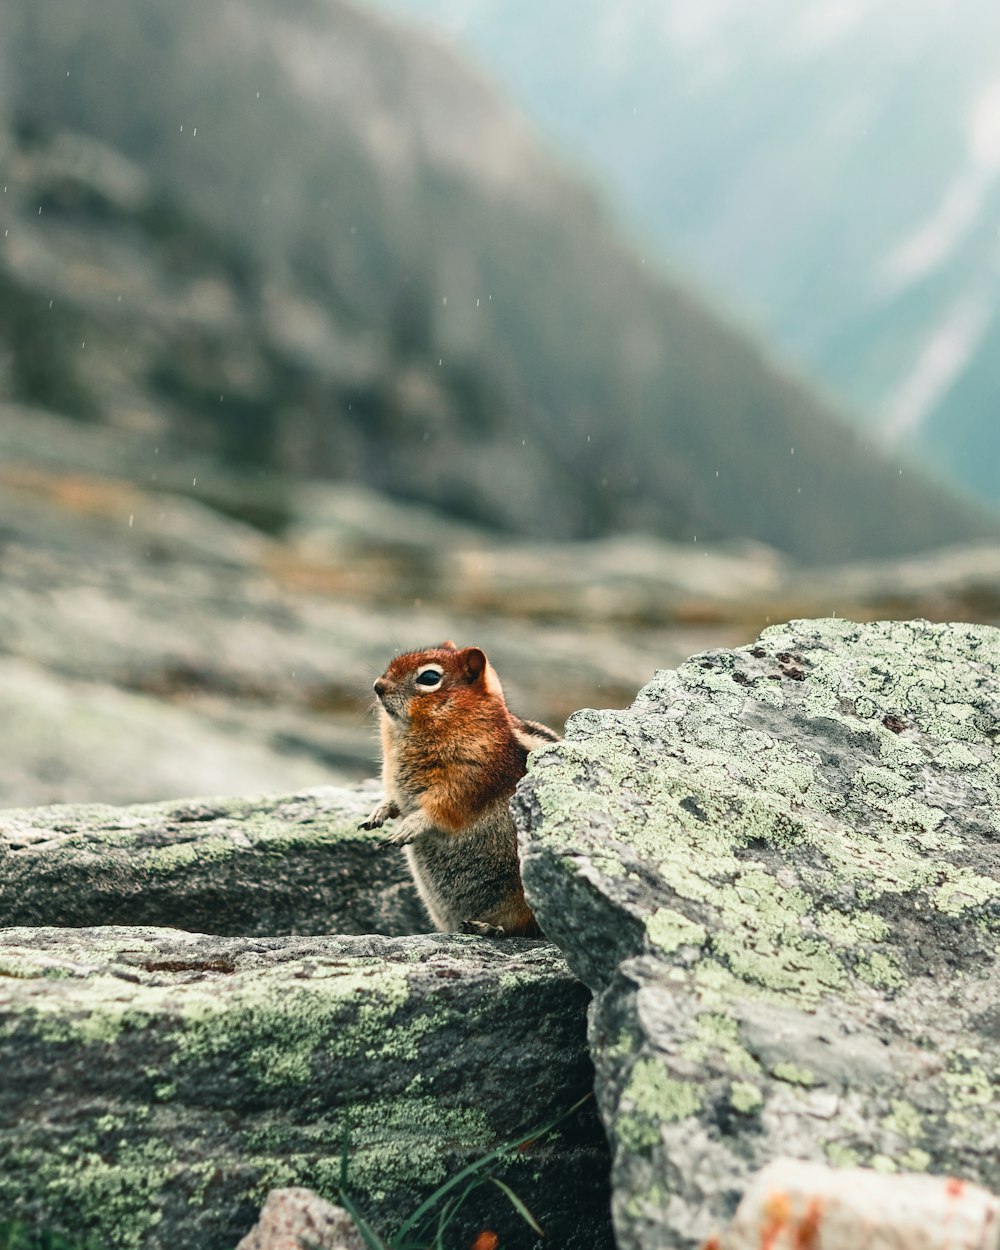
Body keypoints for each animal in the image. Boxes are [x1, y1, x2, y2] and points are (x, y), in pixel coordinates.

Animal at [360, 645, 562, 940]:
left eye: (430, 677)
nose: (378, 686)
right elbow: (394, 801)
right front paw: (379, 812)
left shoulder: (469, 781)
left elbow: (441, 811)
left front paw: (408, 827)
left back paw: (489, 927)